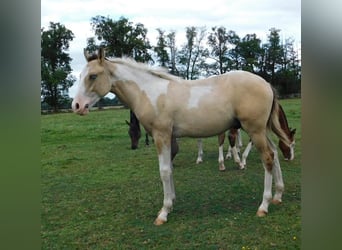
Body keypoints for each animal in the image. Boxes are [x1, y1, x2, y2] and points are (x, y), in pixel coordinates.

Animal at [71, 47, 288, 226]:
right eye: (80, 75)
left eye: (92, 76)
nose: (77, 106)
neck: (149, 92)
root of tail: (266, 83)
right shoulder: (168, 137)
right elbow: (170, 167)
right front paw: (172, 202)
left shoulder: (161, 135)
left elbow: (165, 170)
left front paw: (164, 212)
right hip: (261, 130)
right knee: (275, 153)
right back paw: (278, 196)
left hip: (255, 130)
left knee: (267, 158)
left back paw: (264, 205)